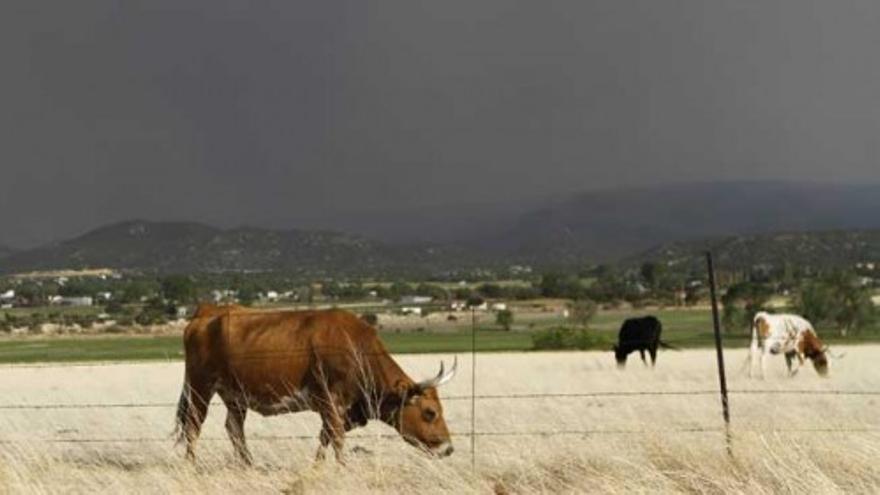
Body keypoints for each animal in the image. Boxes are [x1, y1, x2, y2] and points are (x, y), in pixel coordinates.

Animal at [175, 306, 458, 464]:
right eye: (430, 412)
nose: (449, 449)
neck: (356, 348)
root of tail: (207, 311)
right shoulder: (330, 401)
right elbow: (337, 438)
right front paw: (343, 468)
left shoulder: (338, 409)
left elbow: (325, 437)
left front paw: (318, 465)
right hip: (200, 387)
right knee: (193, 427)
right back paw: (192, 465)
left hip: (235, 396)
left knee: (234, 429)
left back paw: (248, 465)